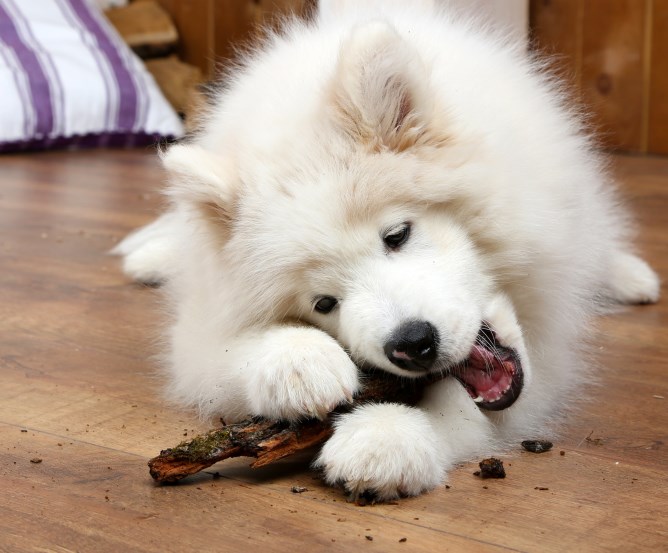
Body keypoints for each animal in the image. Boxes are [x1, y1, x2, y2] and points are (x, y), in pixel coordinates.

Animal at [113, 0, 656, 500]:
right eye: (323, 303)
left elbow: (464, 411)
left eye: (397, 235)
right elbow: (220, 352)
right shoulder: (197, 339)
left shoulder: (547, 358)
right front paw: (300, 364)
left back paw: (631, 277)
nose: (411, 344)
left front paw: (385, 436)